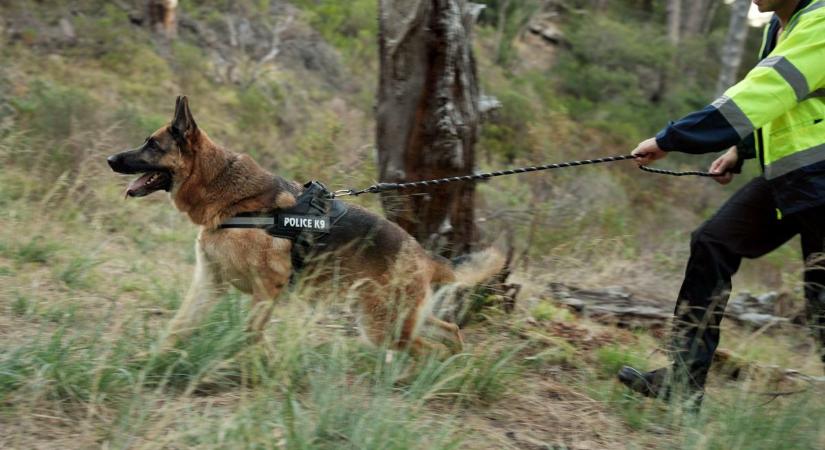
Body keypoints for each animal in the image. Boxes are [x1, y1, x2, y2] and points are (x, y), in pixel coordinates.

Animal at [108, 96, 502, 356]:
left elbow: (249, 335)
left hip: (383, 326)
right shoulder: (209, 284)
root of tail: (423, 254)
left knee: (427, 349)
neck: (226, 192)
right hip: (395, 318)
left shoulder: (267, 290)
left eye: (152, 144)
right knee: (450, 332)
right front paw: (150, 362)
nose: (110, 159)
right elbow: (177, 327)